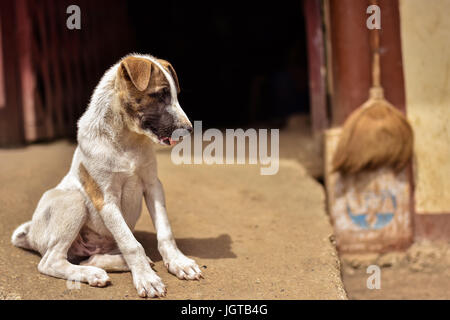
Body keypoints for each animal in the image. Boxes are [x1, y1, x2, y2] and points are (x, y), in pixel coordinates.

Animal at [10, 53, 202, 298]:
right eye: (160, 95)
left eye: (175, 95)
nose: (189, 130)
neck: (127, 139)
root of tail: (30, 234)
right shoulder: (105, 198)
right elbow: (132, 244)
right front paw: (147, 279)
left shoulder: (153, 185)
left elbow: (165, 231)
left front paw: (179, 263)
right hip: (74, 201)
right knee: (50, 262)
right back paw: (93, 274)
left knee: (89, 258)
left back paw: (114, 264)